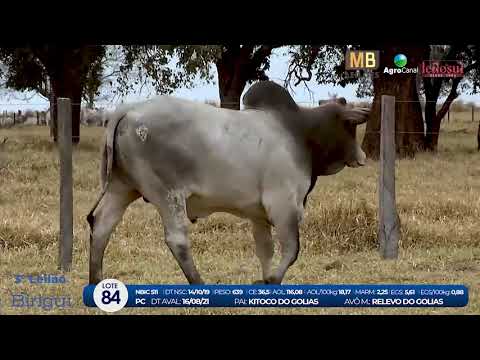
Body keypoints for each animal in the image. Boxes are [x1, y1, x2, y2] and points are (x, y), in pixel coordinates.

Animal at [88, 81, 370, 284]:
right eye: (349, 127)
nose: (363, 157)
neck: (300, 131)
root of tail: (128, 109)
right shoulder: (284, 204)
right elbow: (292, 249)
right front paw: (274, 280)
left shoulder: (259, 214)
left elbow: (265, 249)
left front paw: (265, 281)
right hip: (168, 194)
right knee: (177, 239)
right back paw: (198, 283)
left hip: (122, 188)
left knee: (101, 224)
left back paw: (95, 281)